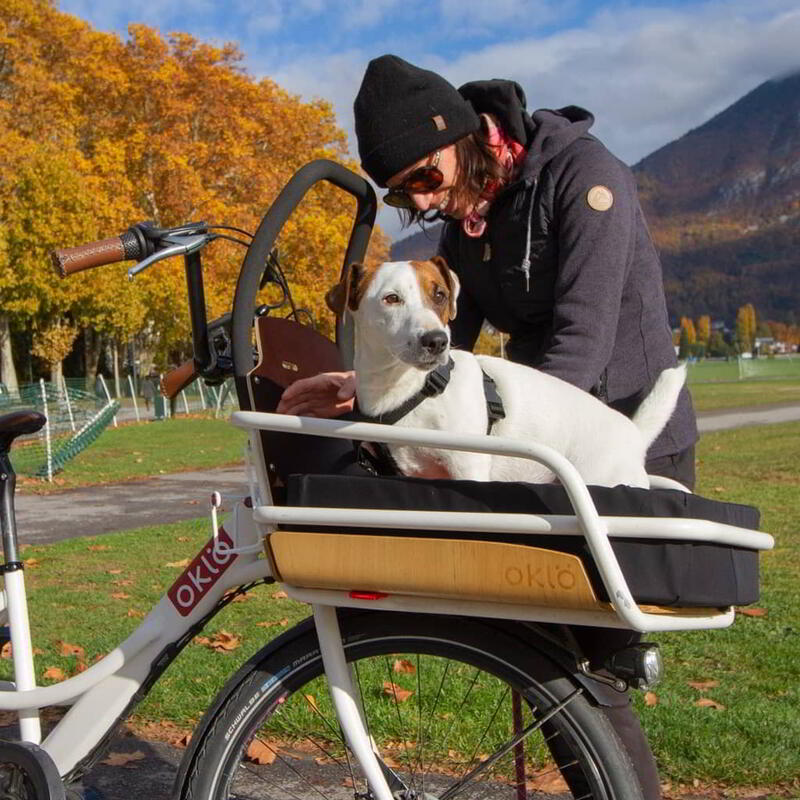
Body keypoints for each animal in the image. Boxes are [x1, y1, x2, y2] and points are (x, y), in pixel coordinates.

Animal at [324, 260, 688, 490]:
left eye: (440, 295)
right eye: (391, 298)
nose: (437, 341)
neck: (413, 390)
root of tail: (633, 433)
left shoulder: (467, 468)